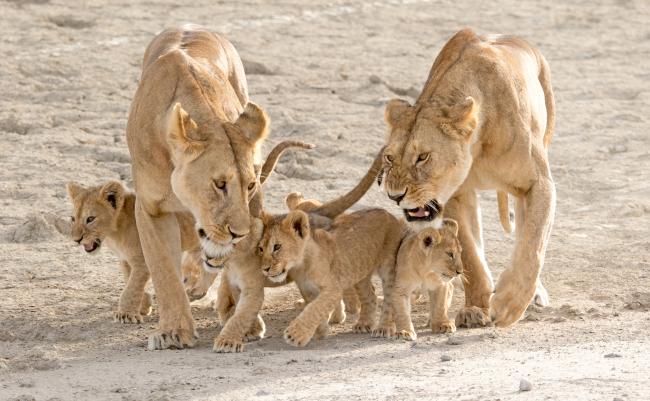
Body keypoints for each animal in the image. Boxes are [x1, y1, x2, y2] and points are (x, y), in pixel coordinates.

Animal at [125, 25, 268, 350]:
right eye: (219, 184)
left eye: (250, 185)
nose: (238, 233)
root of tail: (189, 26)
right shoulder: (150, 209)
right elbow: (164, 270)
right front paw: (174, 331)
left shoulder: (252, 205)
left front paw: (245, 322)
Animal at [380, 29, 556, 326]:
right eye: (390, 157)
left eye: (422, 157)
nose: (395, 196)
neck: (478, 144)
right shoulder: (454, 195)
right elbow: (471, 255)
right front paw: (475, 308)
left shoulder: (538, 184)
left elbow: (532, 243)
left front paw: (509, 304)